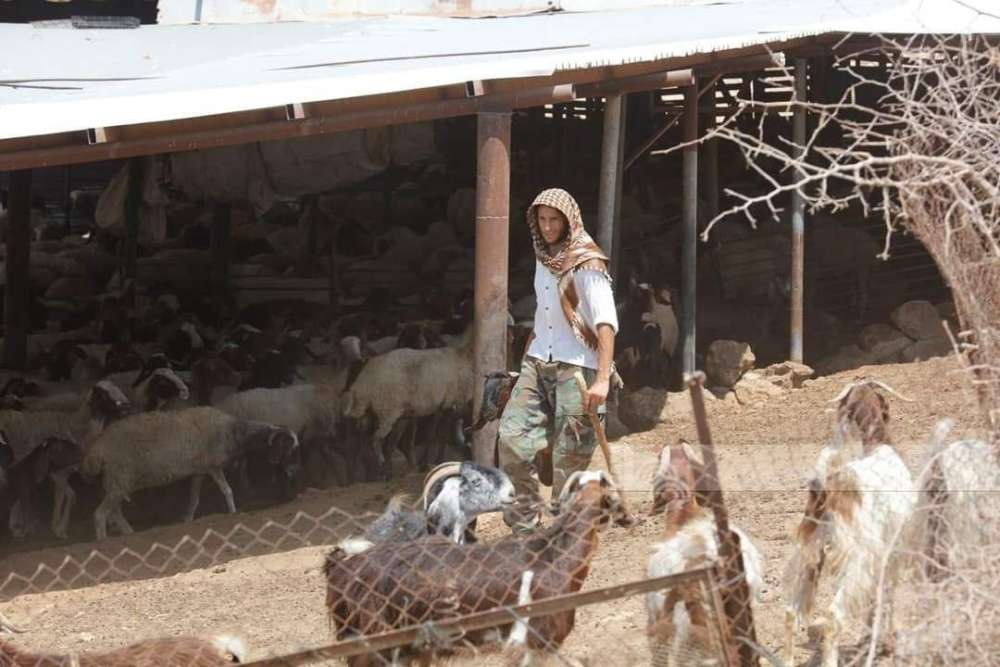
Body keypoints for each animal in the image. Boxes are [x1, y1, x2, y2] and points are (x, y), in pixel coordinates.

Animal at [81, 407, 299, 539]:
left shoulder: (199, 471)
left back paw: (129, 532)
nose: (292, 471)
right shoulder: (213, 466)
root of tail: (97, 448)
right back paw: (103, 540)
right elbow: (227, 490)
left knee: (114, 511)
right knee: (101, 513)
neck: (234, 431)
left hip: (118, 480)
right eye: (284, 447)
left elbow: (194, 498)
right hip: (120, 477)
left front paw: (187, 519)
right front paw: (233, 512)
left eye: (291, 449)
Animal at [782, 378, 918, 667]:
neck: (878, 446)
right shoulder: (891, 550)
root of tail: (827, 492)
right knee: (833, 617)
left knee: (789, 611)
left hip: (810, 554)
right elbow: (887, 595)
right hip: (855, 558)